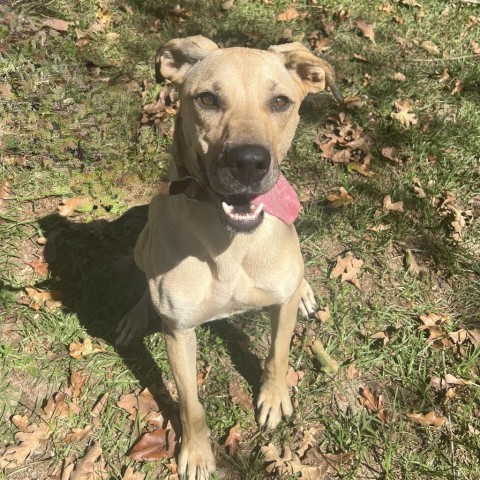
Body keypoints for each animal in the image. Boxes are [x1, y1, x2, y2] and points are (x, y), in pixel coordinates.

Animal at [116, 36, 342, 480]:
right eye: (207, 99)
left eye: (280, 101)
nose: (250, 162)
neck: (232, 243)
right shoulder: (179, 332)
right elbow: (190, 404)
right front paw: (197, 452)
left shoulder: (280, 306)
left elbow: (278, 354)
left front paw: (274, 397)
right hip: (141, 243)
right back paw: (135, 315)